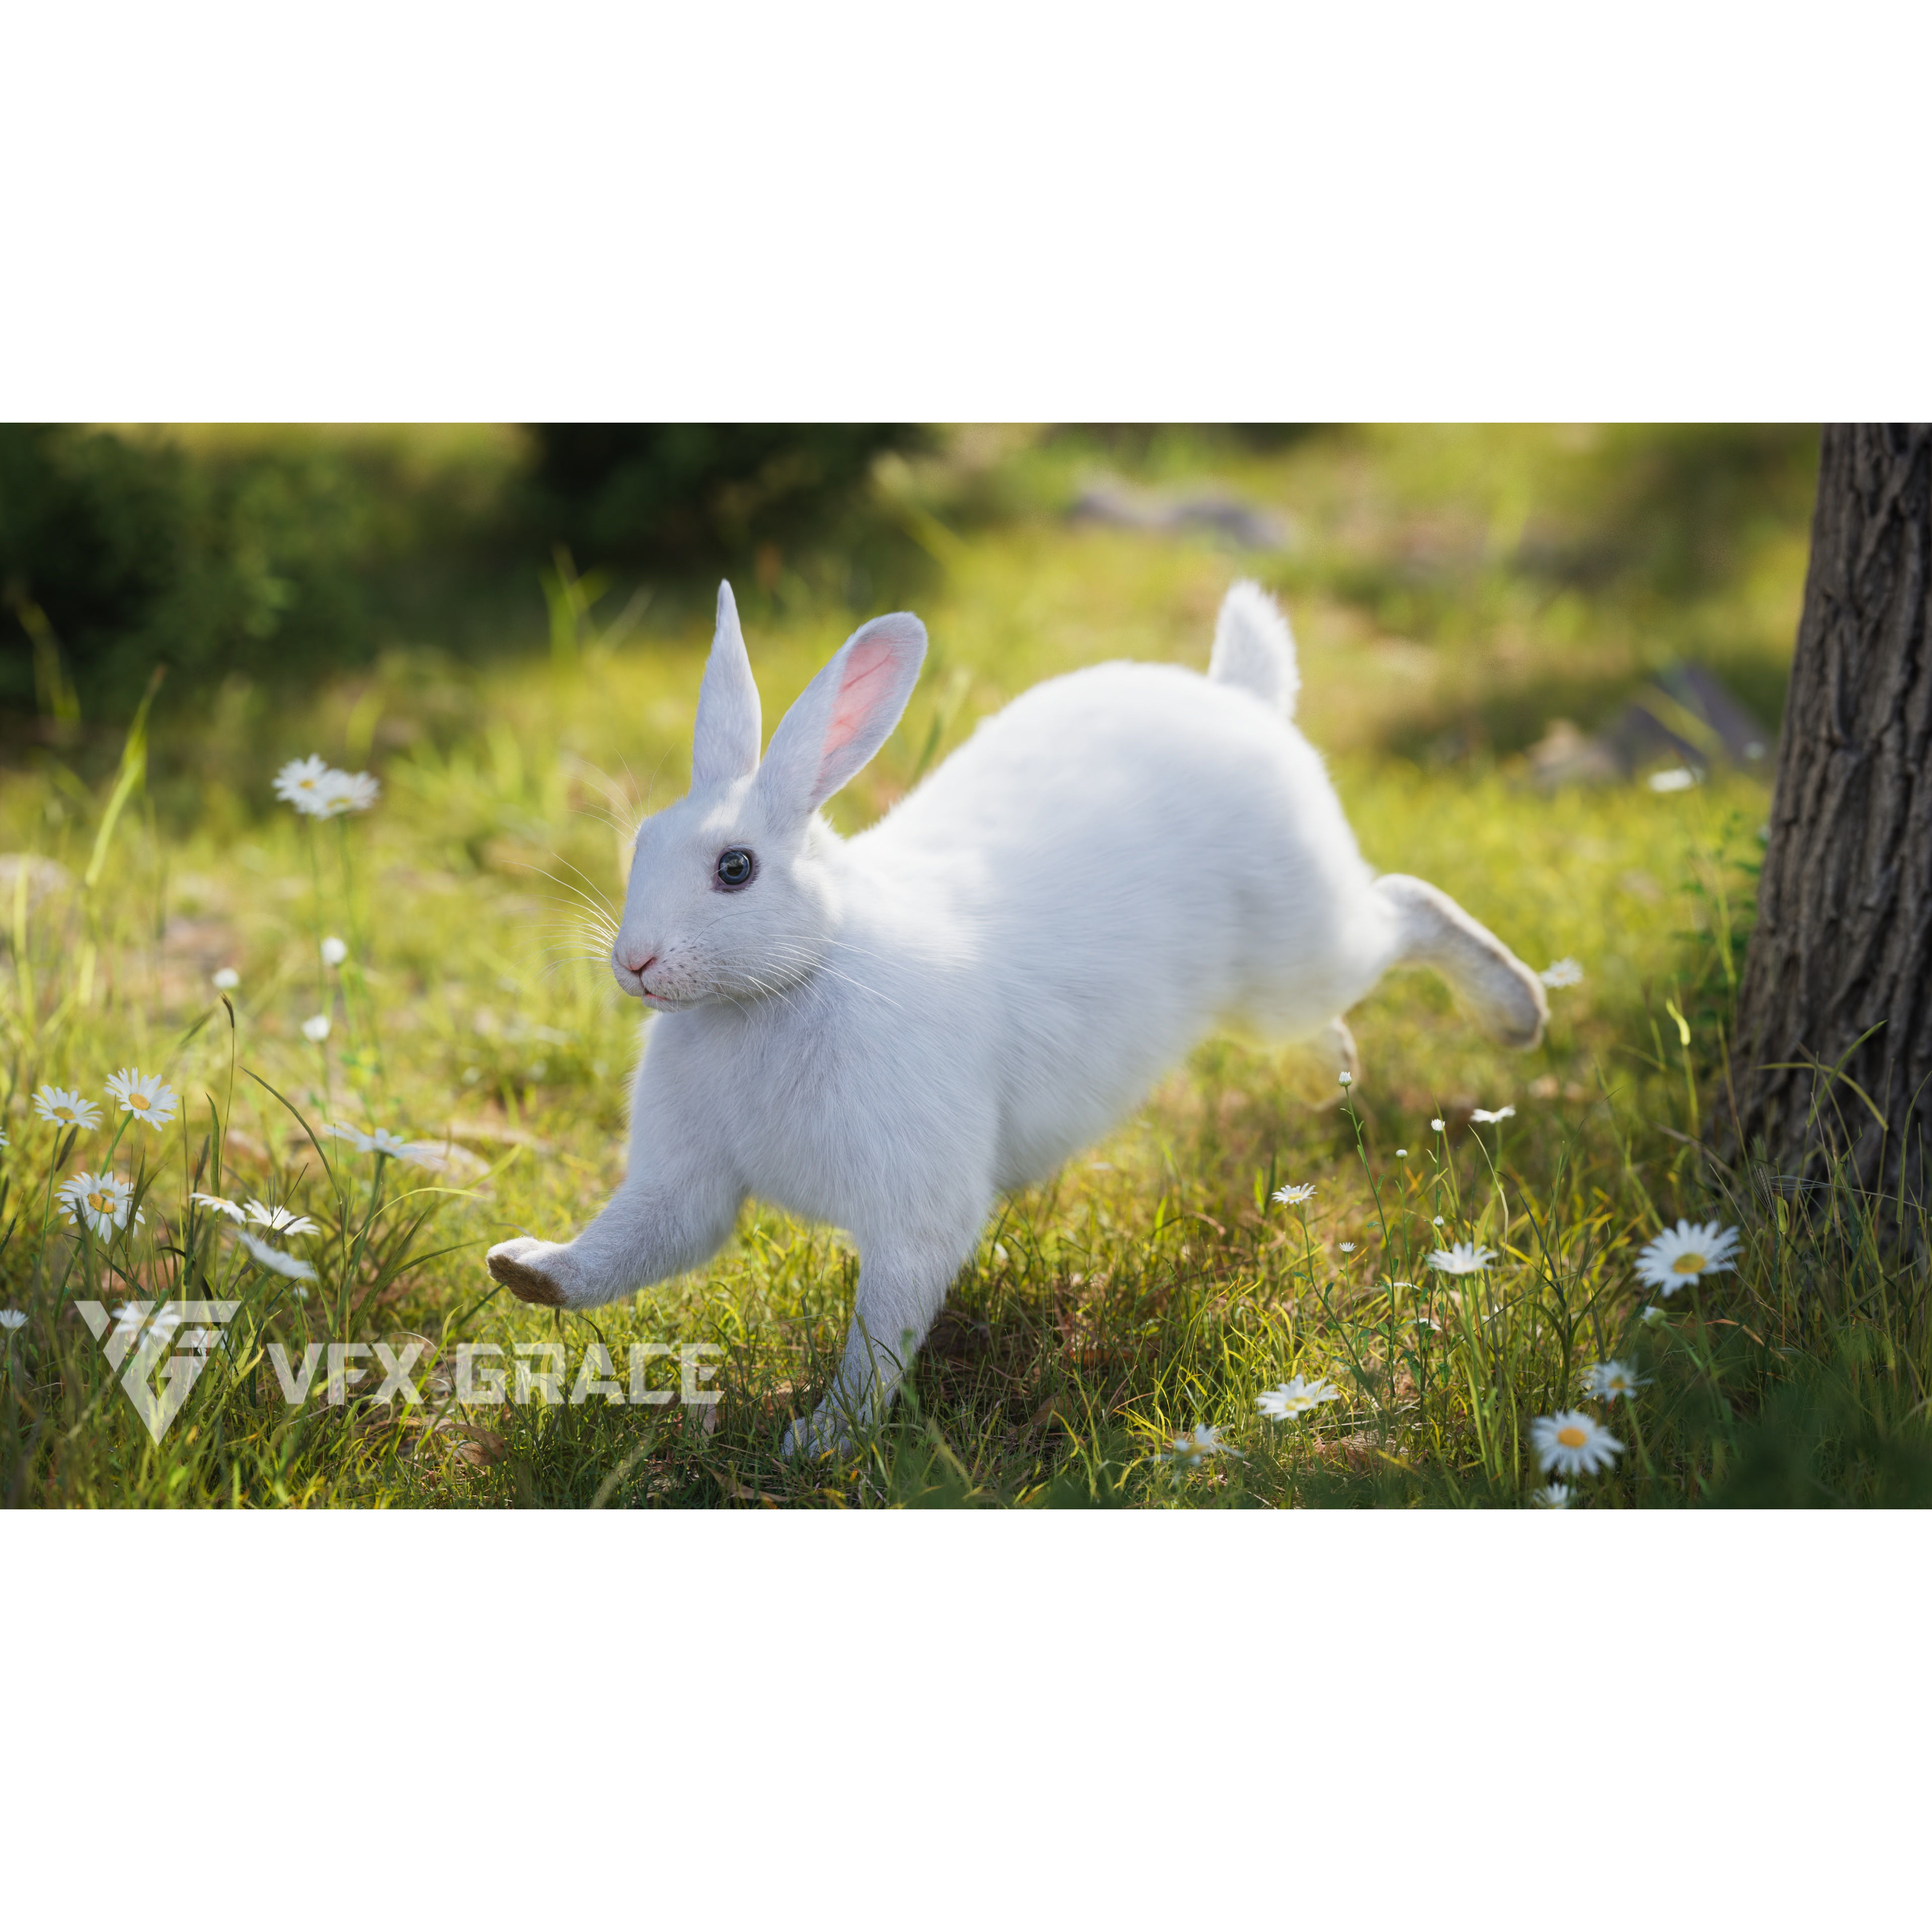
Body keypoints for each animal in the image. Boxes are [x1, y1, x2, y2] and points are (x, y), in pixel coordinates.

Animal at [486, 578, 1547, 1455]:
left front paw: (821, 1443)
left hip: (1305, 948)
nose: (634, 964)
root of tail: (1242, 699)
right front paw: (526, 1272)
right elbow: (626, 1250)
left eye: (735, 869)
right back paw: (1342, 1071)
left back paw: (1519, 1014)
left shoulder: (916, 1217)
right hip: (1279, 994)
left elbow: (879, 1340)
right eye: (644, 843)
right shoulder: (684, 1187)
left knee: (1404, 908)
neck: (790, 981)